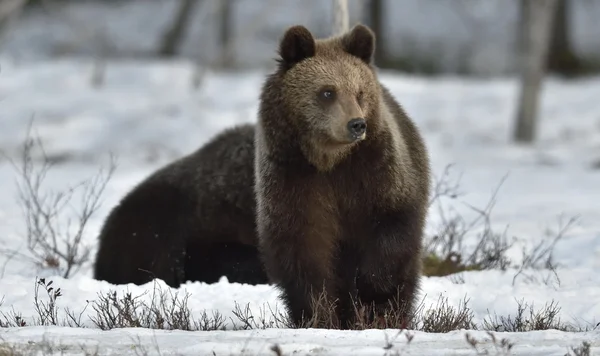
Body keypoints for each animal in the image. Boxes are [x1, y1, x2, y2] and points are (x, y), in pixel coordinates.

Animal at [255, 23, 428, 328]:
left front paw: (372, 289)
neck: (329, 160)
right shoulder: (293, 179)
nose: (356, 124)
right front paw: (319, 314)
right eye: (327, 92)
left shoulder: (376, 172)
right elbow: (302, 249)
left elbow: (392, 226)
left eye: (359, 92)